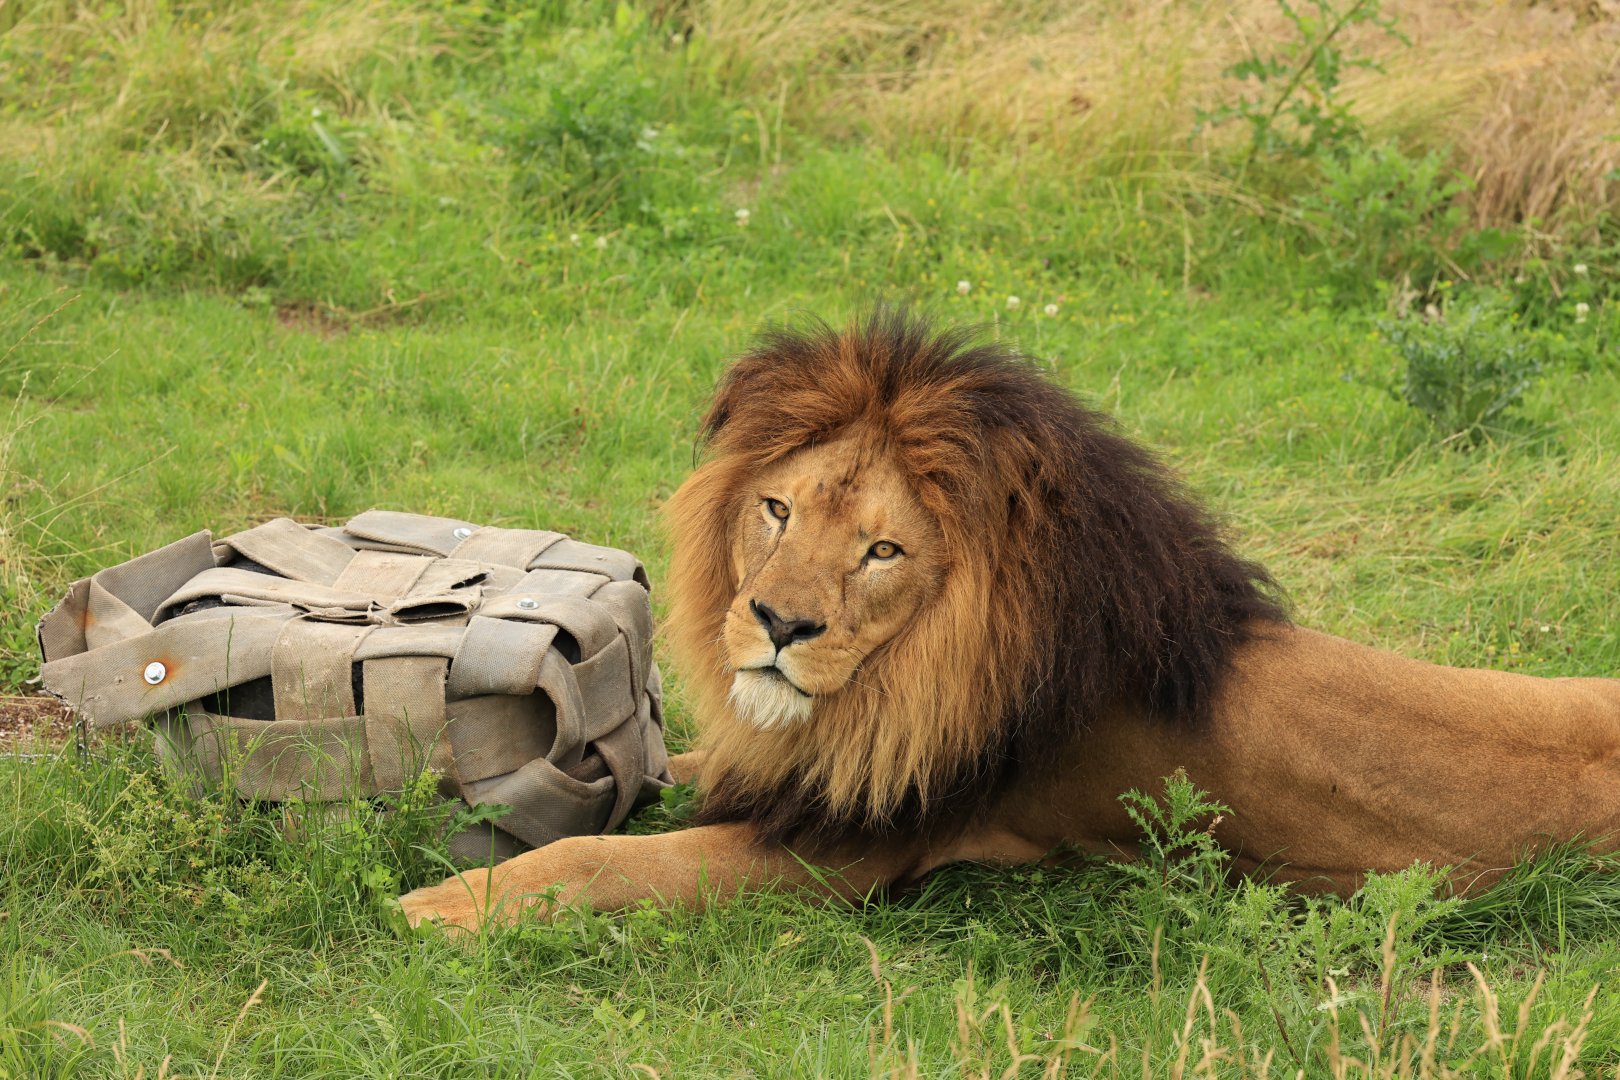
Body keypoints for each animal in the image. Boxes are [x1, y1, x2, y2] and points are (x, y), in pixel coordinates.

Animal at [399, 311, 1620, 932]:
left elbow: (602, 864)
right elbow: (658, 778)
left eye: (883, 551)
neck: (903, 674)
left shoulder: (853, 850)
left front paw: (442, 903)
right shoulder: (812, 768)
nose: (778, 624)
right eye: (778, 510)